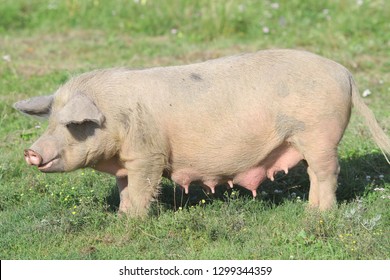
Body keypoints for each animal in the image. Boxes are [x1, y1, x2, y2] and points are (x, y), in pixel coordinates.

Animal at [12, 49, 390, 217]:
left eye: (72, 125)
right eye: (50, 122)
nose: (31, 151)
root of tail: (344, 73)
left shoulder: (149, 154)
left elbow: (142, 188)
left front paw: (131, 221)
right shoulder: (127, 162)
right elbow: (124, 190)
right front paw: (120, 216)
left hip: (318, 133)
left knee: (326, 171)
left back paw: (318, 213)